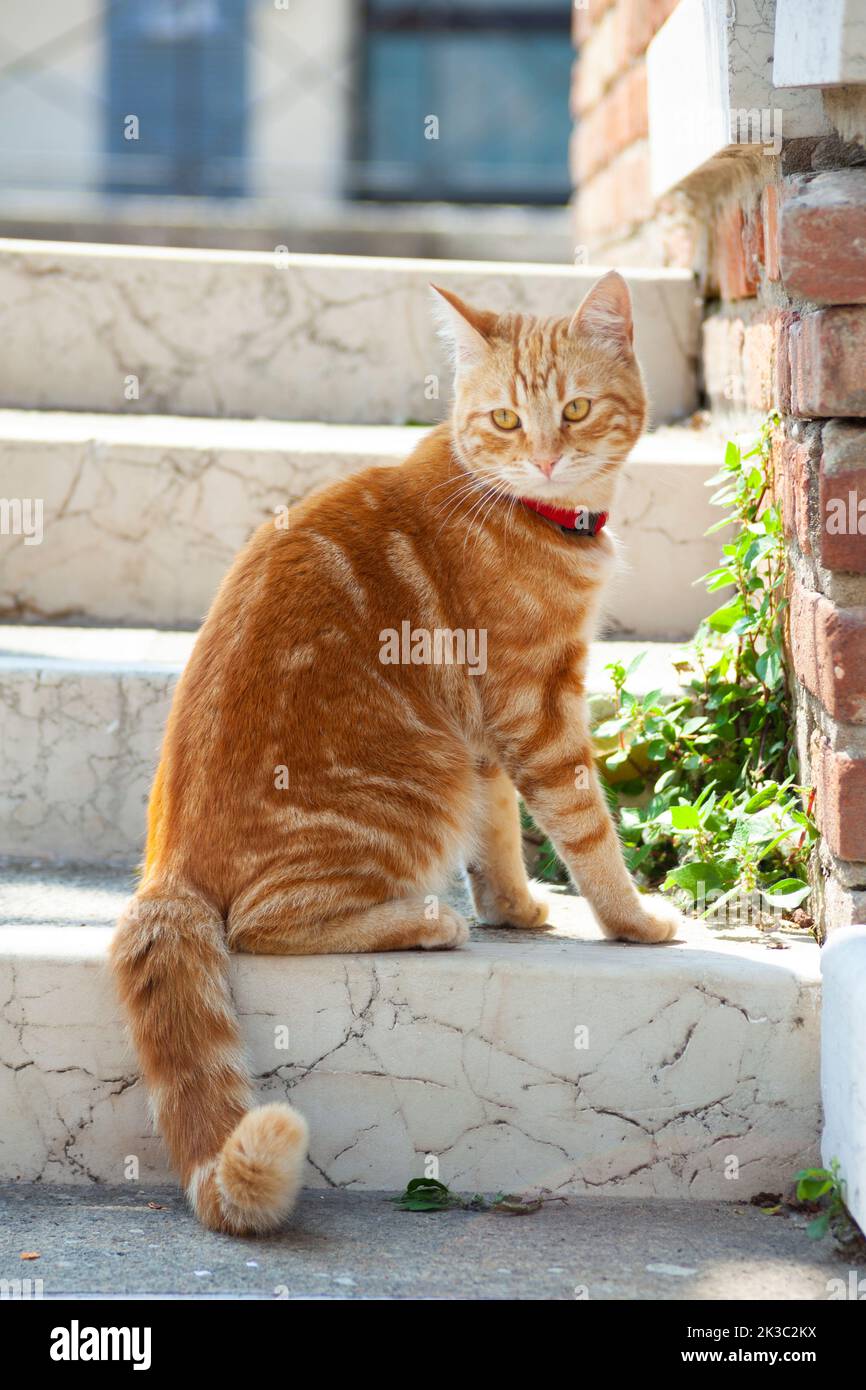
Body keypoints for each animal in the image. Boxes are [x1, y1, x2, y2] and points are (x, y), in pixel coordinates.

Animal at [111, 273, 686, 1239]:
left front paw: (517, 910)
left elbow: (501, 839)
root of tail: (165, 868)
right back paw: (426, 921)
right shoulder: (538, 709)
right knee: (260, 923)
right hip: (421, 782)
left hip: (446, 763)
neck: (530, 512)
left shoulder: (487, 732)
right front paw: (633, 921)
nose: (543, 459)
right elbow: (585, 827)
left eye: (573, 409)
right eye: (503, 420)